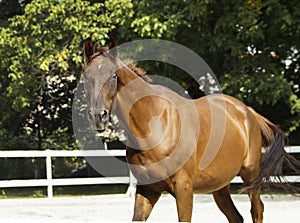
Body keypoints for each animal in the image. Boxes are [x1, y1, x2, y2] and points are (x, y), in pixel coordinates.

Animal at [82, 39, 300, 222]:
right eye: (86, 77)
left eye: (113, 75)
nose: (98, 116)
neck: (154, 128)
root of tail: (248, 112)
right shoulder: (147, 190)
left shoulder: (184, 190)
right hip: (220, 187)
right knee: (236, 217)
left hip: (251, 176)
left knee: (257, 211)